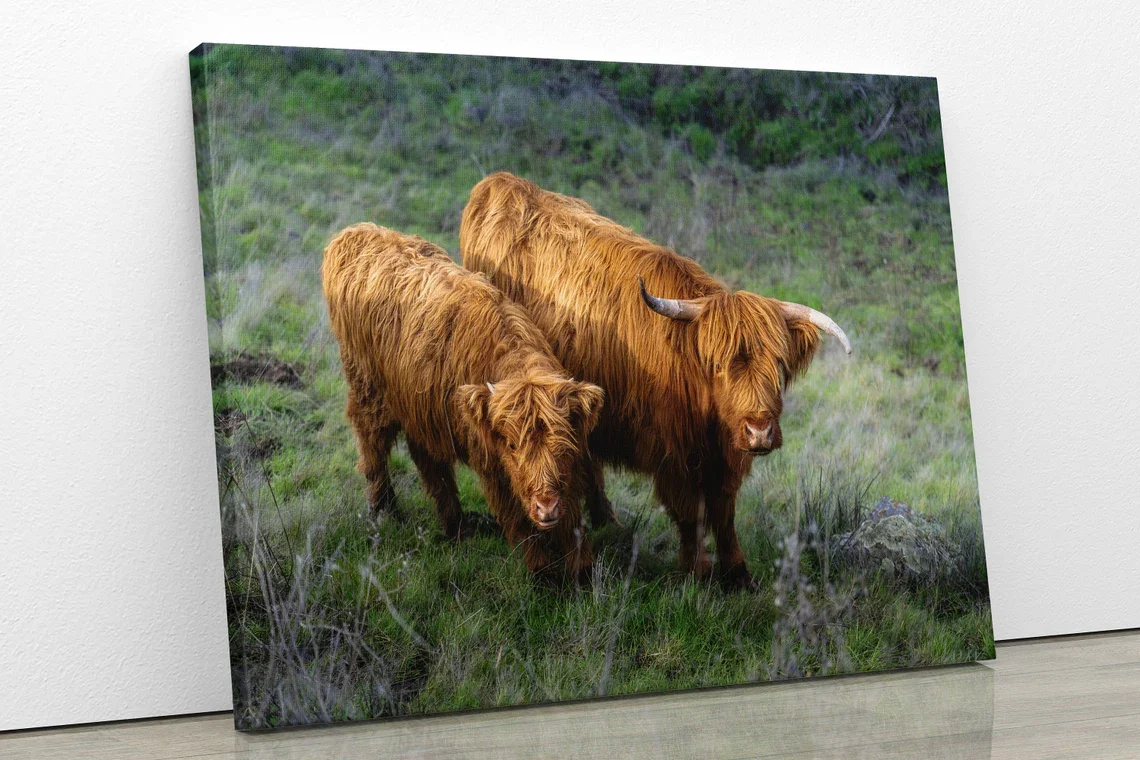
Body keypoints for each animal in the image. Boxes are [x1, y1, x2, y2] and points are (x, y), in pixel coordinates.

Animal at [322, 223, 604, 581]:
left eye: (563, 445)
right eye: (512, 446)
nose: (545, 507)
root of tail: (355, 233)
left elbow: (571, 517)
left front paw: (581, 570)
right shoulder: (490, 462)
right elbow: (515, 517)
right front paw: (541, 573)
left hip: (419, 407)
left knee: (429, 462)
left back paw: (456, 527)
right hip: (368, 390)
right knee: (373, 446)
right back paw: (385, 510)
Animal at [459, 173, 850, 588]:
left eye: (778, 364)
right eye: (717, 365)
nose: (759, 431)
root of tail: (502, 182)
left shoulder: (725, 458)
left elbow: (724, 512)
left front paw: (737, 572)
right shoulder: (673, 454)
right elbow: (691, 514)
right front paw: (698, 572)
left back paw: (606, 520)